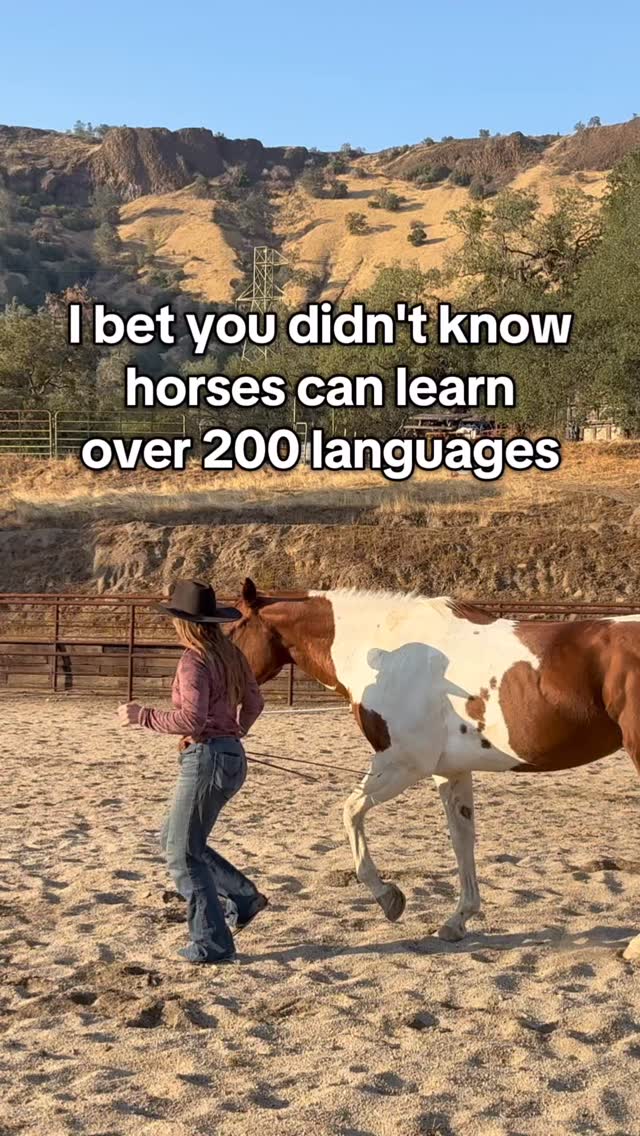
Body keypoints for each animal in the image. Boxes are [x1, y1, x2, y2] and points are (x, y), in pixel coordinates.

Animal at [227, 579, 640, 950]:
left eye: (231, 632)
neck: (388, 651)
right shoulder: (450, 771)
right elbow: (461, 838)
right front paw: (457, 921)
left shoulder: (402, 764)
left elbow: (351, 811)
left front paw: (389, 898)